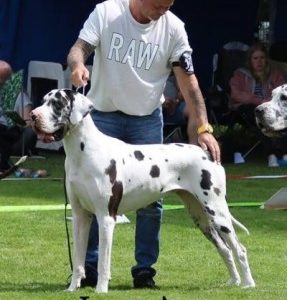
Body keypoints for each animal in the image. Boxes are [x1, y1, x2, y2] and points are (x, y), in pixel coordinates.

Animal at [30, 89, 256, 292]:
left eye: (57, 104)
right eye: (43, 101)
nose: (33, 115)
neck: (83, 153)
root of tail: (207, 152)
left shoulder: (106, 217)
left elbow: (104, 262)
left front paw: (101, 290)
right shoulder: (80, 217)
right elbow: (78, 260)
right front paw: (72, 288)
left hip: (217, 212)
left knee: (240, 249)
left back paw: (248, 284)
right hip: (201, 218)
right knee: (225, 249)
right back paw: (234, 281)